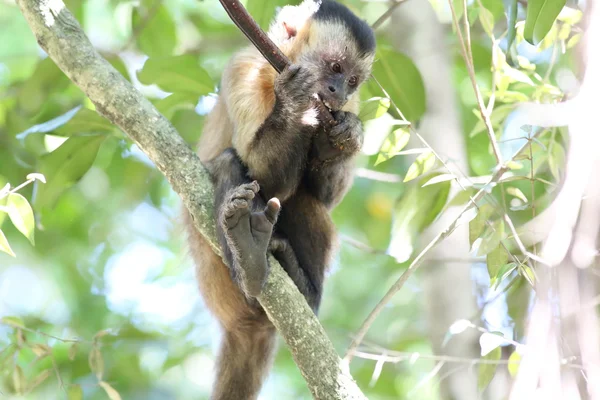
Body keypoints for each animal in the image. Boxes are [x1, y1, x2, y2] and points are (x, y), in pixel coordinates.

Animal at [185, 1, 376, 398]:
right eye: (335, 68)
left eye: (352, 81)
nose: (337, 91)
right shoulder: (244, 67)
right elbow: (261, 174)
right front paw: (293, 102)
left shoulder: (349, 104)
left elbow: (324, 197)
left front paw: (344, 135)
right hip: (214, 276)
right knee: (228, 163)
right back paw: (249, 259)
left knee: (304, 200)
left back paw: (304, 289)